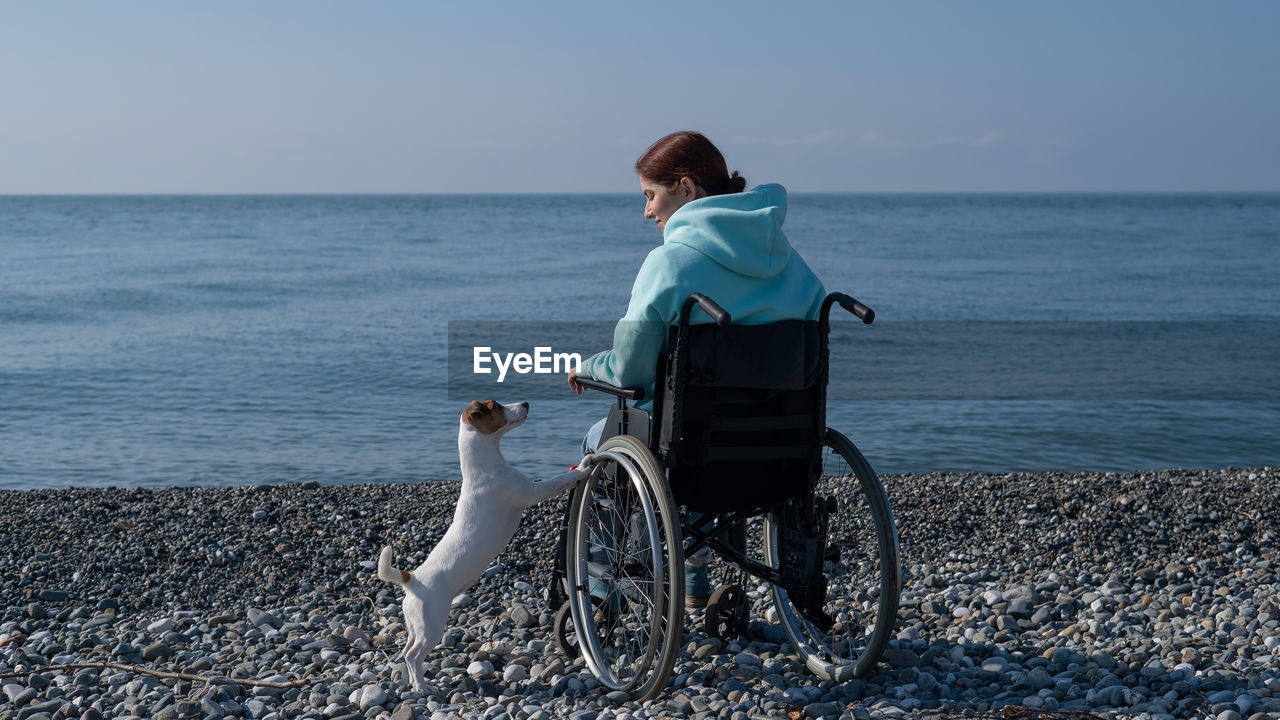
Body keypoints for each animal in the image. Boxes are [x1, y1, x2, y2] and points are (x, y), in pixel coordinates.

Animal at [373, 397, 593, 691]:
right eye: (496, 406)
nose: (526, 402)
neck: (482, 466)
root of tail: (412, 580)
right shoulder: (533, 492)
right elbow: (559, 480)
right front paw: (583, 466)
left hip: (415, 625)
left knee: (407, 650)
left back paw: (410, 682)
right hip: (431, 627)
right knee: (413, 655)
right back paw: (422, 687)